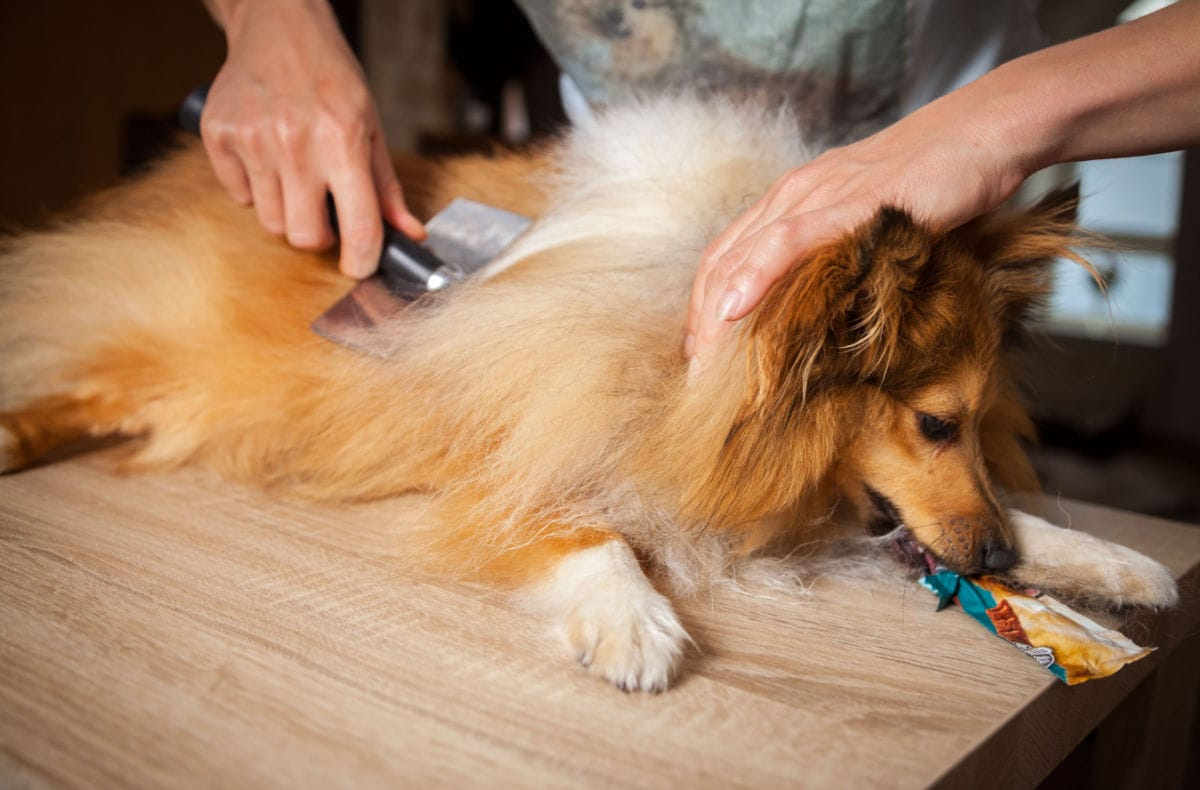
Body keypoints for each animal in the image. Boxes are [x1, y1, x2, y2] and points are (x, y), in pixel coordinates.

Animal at [0, 95, 1180, 691]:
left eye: (974, 425)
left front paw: (1117, 563)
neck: (680, 345)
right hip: (175, 356)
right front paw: (633, 626)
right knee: (83, 383)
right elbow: (582, 525)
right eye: (933, 422)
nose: (992, 563)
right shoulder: (519, 445)